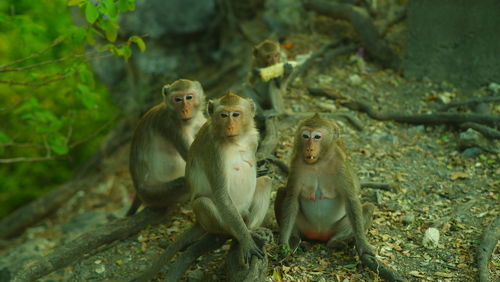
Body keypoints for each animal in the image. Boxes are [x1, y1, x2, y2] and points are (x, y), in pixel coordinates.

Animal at [129, 79, 209, 216]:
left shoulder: (198, 119)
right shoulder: (171, 126)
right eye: (177, 99)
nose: (185, 110)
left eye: (189, 97)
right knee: (186, 181)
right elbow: (192, 158)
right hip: (156, 195)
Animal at [186, 91, 272, 266]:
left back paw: (252, 229)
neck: (236, 141)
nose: (230, 126)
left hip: (245, 211)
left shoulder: (253, 139)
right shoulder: (213, 150)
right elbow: (221, 194)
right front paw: (246, 241)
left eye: (236, 114)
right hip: (222, 221)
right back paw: (237, 234)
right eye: (224, 115)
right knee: (203, 202)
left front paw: (259, 169)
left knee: (266, 182)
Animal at [274, 113, 376, 256]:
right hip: (306, 227)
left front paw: (363, 244)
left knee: (368, 208)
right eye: (305, 136)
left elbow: (351, 200)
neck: (318, 163)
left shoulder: (340, 166)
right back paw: (294, 238)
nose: (309, 148)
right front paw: (283, 243)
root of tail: (319, 235)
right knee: (282, 192)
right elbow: (291, 199)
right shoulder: (296, 164)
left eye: (317, 137)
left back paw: (335, 241)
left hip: (333, 229)